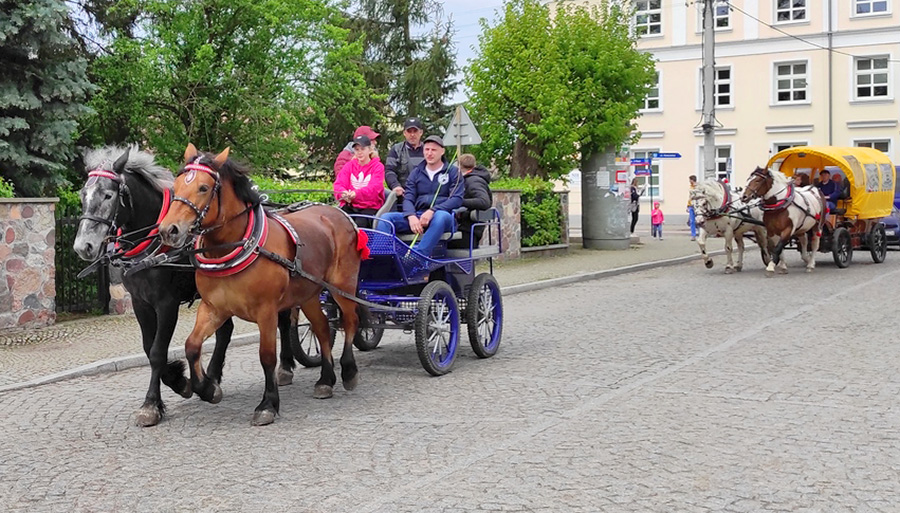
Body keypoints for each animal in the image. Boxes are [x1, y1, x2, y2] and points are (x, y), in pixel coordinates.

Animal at [73, 144, 298, 424]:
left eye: (108, 195)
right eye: (83, 194)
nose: (83, 246)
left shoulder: (167, 304)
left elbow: (157, 351)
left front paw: (154, 402)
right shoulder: (140, 302)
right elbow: (148, 347)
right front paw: (181, 381)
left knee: (284, 321)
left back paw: (285, 367)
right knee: (226, 331)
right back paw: (212, 378)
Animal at [156, 144, 368, 424]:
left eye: (203, 188)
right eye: (177, 185)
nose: (169, 230)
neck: (237, 246)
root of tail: (338, 212)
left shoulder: (266, 311)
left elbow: (267, 356)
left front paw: (268, 404)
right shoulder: (214, 308)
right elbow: (192, 346)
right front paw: (208, 389)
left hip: (342, 285)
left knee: (351, 320)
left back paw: (349, 370)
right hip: (308, 293)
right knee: (322, 327)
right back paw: (325, 379)